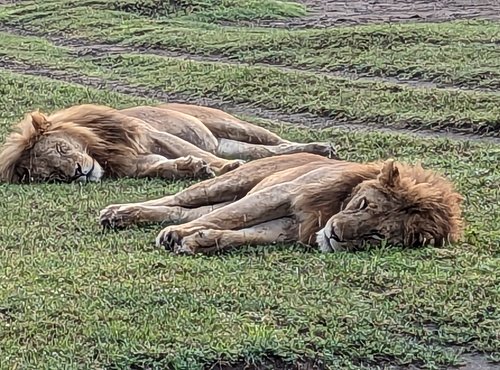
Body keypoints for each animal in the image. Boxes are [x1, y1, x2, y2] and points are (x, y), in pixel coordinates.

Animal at [99, 153, 466, 254]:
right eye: (363, 204)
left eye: (376, 235)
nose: (335, 234)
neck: (333, 209)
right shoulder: (282, 194)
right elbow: (232, 219)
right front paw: (176, 236)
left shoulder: (290, 227)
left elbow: (238, 234)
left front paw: (199, 242)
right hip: (231, 182)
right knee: (179, 199)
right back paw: (118, 213)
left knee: (183, 210)